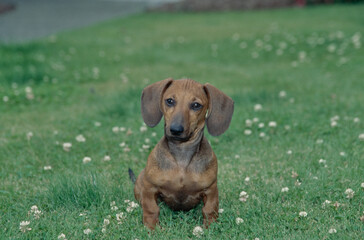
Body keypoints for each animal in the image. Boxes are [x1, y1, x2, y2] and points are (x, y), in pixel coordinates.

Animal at [133, 78, 233, 230]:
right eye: (169, 101)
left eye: (196, 105)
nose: (175, 130)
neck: (182, 155)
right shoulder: (150, 188)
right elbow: (151, 209)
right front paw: (151, 229)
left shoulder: (211, 190)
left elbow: (209, 209)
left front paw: (211, 228)